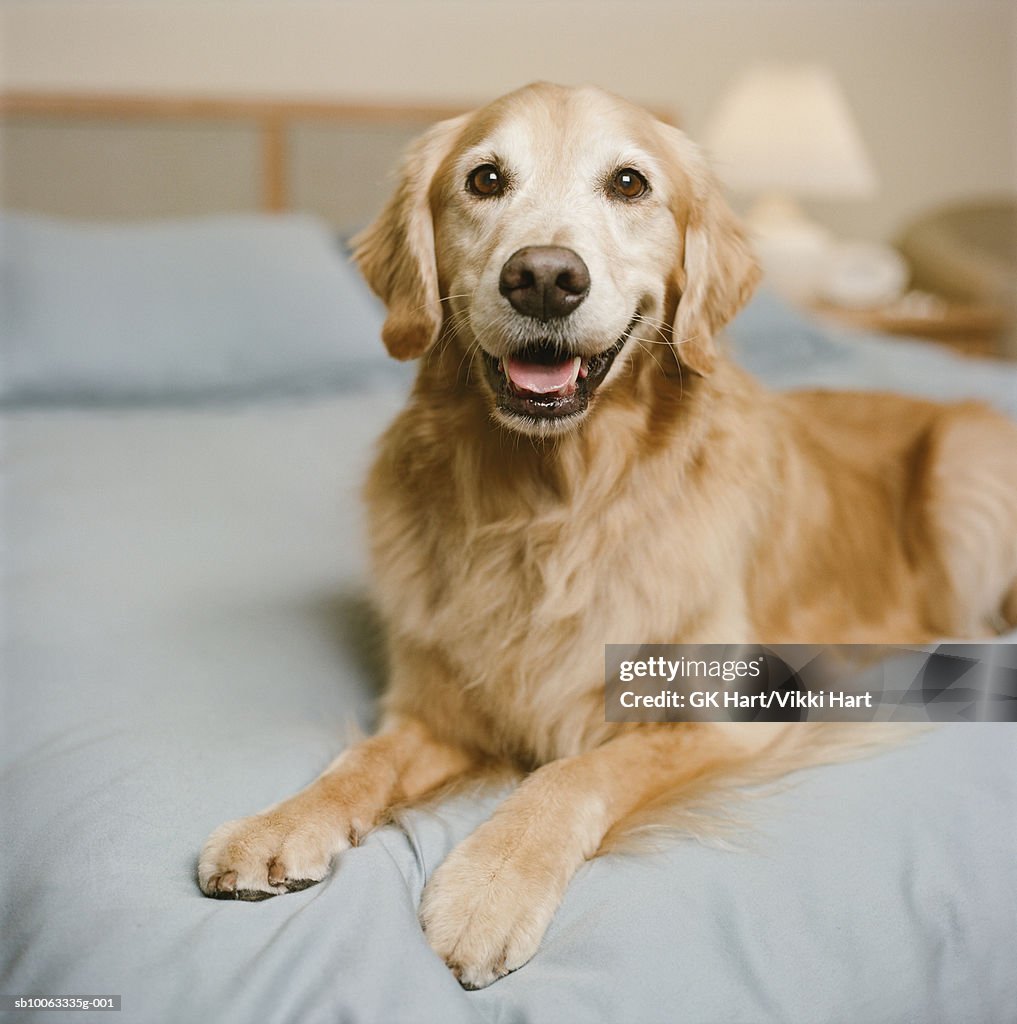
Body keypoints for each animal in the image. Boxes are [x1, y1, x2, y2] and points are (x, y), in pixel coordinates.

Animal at [198, 81, 1015, 991]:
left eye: (629, 183)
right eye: (484, 178)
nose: (544, 278)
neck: (556, 506)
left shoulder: (729, 716)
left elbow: (577, 769)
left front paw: (491, 884)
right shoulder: (437, 710)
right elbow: (361, 761)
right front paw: (278, 823)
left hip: (967, 468)